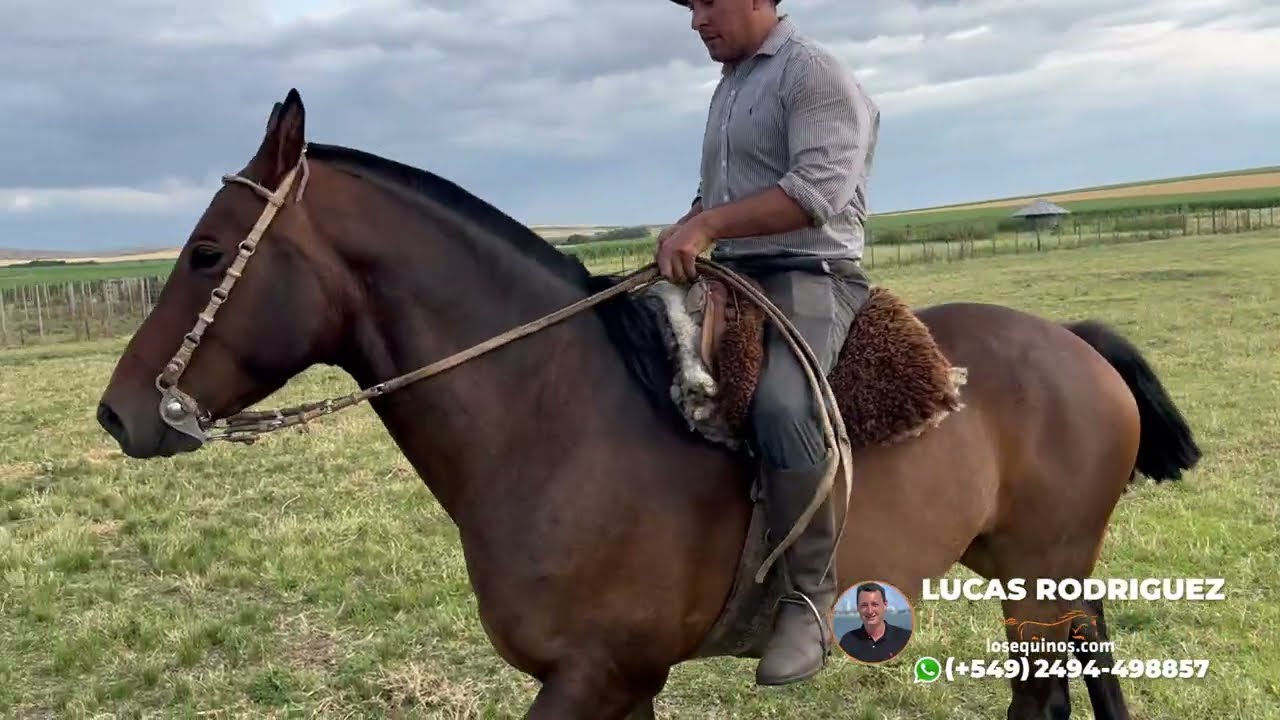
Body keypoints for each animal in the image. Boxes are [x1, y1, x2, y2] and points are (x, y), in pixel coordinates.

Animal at [96, 89, 1200, 719]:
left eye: (206, 254)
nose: (119, 413)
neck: (555, 422)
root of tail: (1070, 341)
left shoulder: (594, 676)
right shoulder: (623, 684)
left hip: (1039, 576)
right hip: (1043, 569)